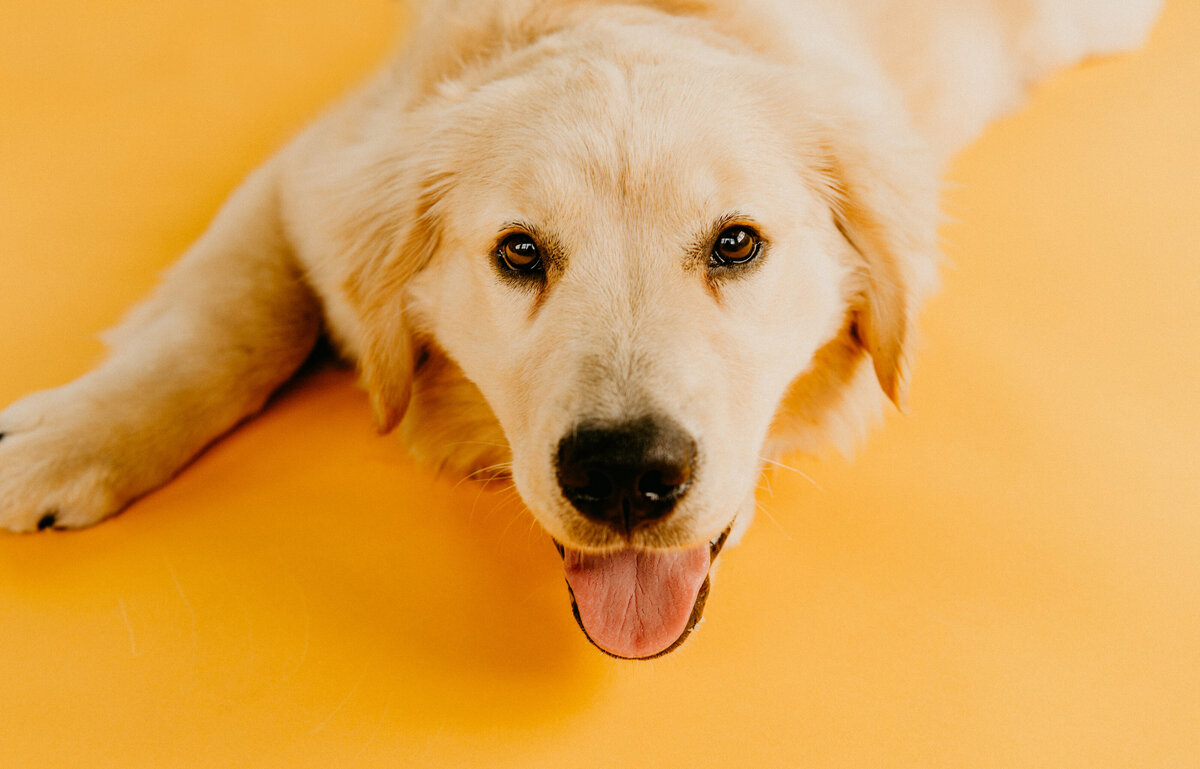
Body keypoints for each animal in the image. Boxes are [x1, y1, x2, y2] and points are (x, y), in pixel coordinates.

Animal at [0, 0, 1161, 662]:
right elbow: (228, 319)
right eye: (520, 252)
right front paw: (69, 435)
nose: (626, 474)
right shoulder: (319, 166)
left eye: (736, 244)